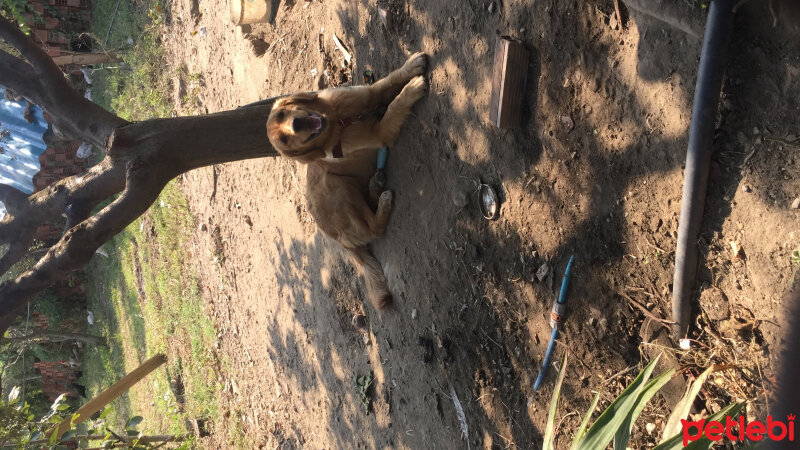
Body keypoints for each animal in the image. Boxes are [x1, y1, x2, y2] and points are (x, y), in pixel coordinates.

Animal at [268, 50, 432, 310]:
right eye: (284, 140)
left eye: (283, 114)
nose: (297, 123)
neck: (339, 122)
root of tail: (338, 241)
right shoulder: (380, 131)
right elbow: (394, 107)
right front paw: (412, 88)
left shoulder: (365, 94)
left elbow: (387, 82)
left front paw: (412, 67)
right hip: (338, 188)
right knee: (374, 229)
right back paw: (383, 203)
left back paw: (376, 186)